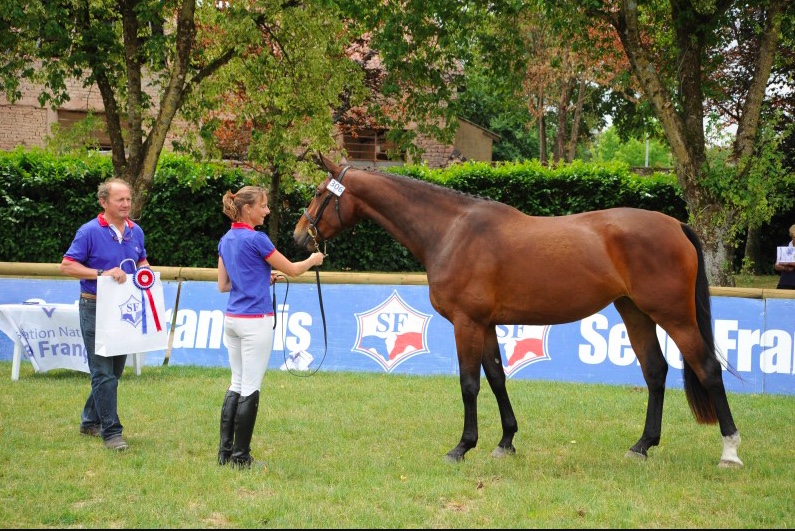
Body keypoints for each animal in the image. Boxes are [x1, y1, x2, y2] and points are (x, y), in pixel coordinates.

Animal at [294, 155, 748, 470]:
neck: (452, 231)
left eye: (318, 192)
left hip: (675, 316)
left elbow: (469, 385)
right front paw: (505, 442)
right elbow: (496, 378)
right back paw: (642, 446)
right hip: (634, 312)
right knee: (655, 371)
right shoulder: (486, 324)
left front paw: (462, 447)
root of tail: (675, 226)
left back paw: (729, 450)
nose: (300, 236)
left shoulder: (466, 323)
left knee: (708, 368)